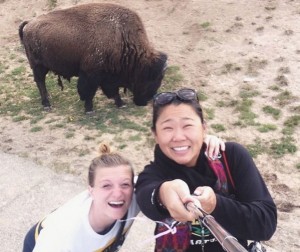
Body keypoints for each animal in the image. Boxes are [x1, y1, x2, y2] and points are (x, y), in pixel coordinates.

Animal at [18, 2, 168, 112]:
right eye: (153, 78)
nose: (146, 101)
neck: (121, 38)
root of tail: (29, 24)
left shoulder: (107, 77)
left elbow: (113, 91)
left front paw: (120, 103)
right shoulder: (91, 74)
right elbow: (89, 92)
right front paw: (89, 109)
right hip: (38, 66)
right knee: (40, 82)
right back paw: (47, 104)